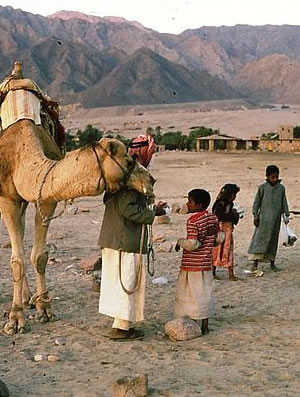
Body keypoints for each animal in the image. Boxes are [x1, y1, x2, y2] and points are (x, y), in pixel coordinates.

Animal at [0, 117, 155, 334]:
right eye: (130, 161)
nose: (151, 180)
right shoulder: (7, 198)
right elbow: (17, 261)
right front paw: (15, 319)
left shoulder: (45, 198)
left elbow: (39, 256)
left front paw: (45, 309)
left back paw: (26, 298)